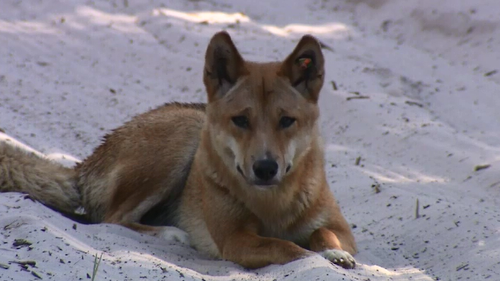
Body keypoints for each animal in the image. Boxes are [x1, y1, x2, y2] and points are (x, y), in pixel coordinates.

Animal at [1, 30, 358, 266]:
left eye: (286, 121)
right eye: (241, 120)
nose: (266, 168)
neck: (274, 203)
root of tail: (87, 163)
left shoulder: (341, 228)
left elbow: (321, 235)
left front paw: (334, 253)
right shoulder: (236, 239)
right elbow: (291, 249)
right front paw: (319, 258)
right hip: (182, 141)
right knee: (112, 218)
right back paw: (171, 233)